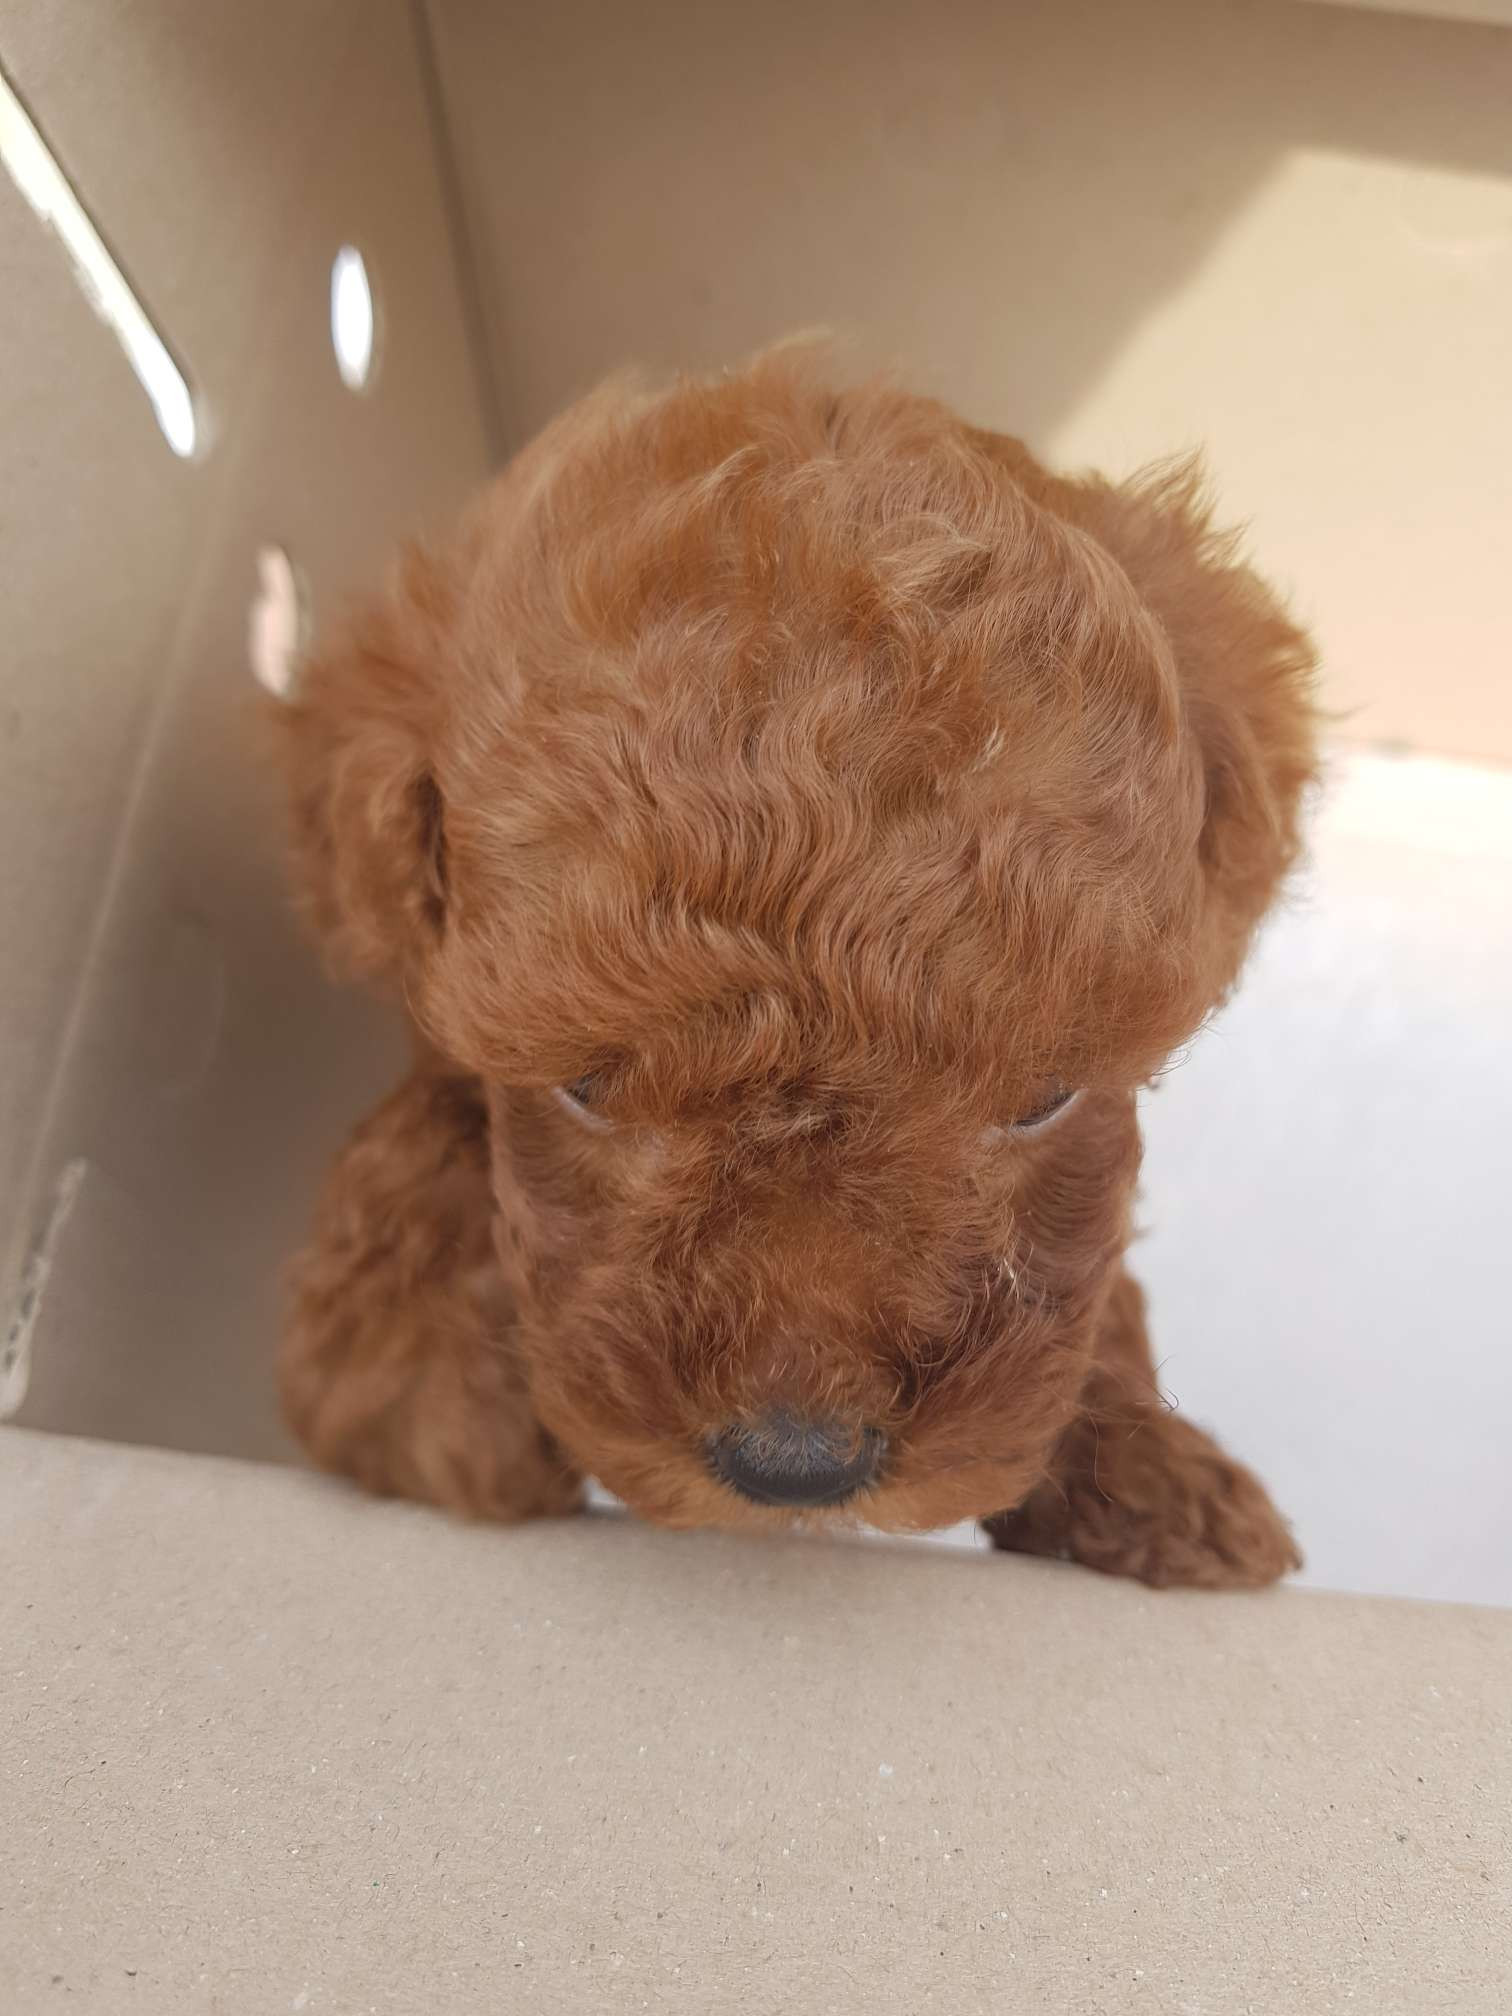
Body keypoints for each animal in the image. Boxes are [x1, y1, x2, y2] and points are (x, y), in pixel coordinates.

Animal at [277, 347, 1315, 1589]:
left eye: (1047, 1098)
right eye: (582, 1086)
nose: (798, 1464)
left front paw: (1152, 1470)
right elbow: (418, 1149)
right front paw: (431, 1392)